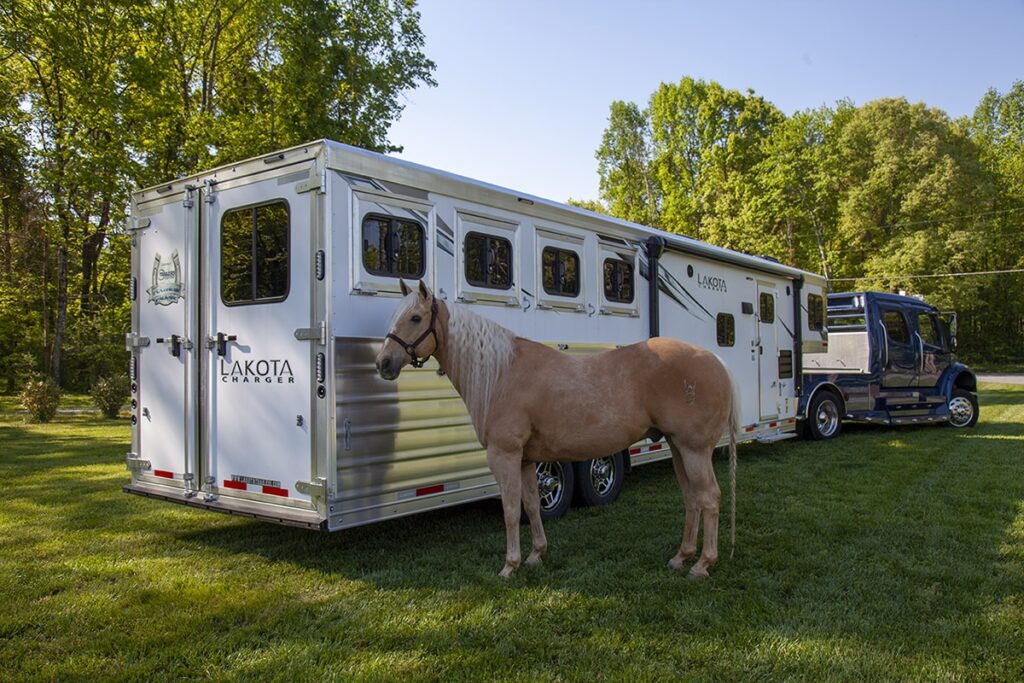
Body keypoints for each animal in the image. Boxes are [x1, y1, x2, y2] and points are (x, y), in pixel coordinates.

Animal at [376, 280, 739, 580]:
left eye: (415, 318)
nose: (383, 364)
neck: (502, 373)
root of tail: (716, 360)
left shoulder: (504, 455)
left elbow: (510, 509)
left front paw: (510, 565)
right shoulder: (526, 460)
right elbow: (532, 504)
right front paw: (536, 555)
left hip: (694, 450)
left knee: (709, 497)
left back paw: (702, 565)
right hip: (678, 447)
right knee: (691, 498)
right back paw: (681, 557)